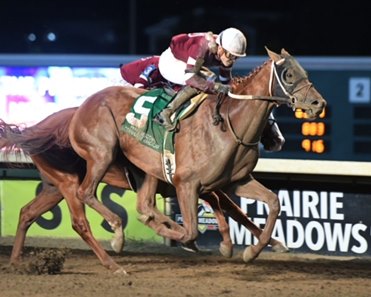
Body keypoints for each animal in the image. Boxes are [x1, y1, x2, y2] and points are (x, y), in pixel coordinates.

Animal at [0, 107, 288, 272]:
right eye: (268, 119)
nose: (279, 140)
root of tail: (35, 129)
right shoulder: (191, 182)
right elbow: (230, 207)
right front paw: (233, 243)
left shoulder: (201, 183)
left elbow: (231, 208)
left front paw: (268, 242)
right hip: (69, 183)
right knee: (80, 222)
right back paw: (113, 259)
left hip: (53, 186)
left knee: (27, 213)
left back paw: (15, 262)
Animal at [69, 47, 326, 262]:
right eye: (288, 75)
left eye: (304, 72)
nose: (318, 103)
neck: (228, 125)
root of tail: (83, 105)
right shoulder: (186, 184)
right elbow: (193, 230)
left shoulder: (235, 181)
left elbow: (271, 203)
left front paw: (253, 250)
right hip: (102, 154)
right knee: (86, 192)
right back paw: (118, 231)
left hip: (145, 169)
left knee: (144, 205)